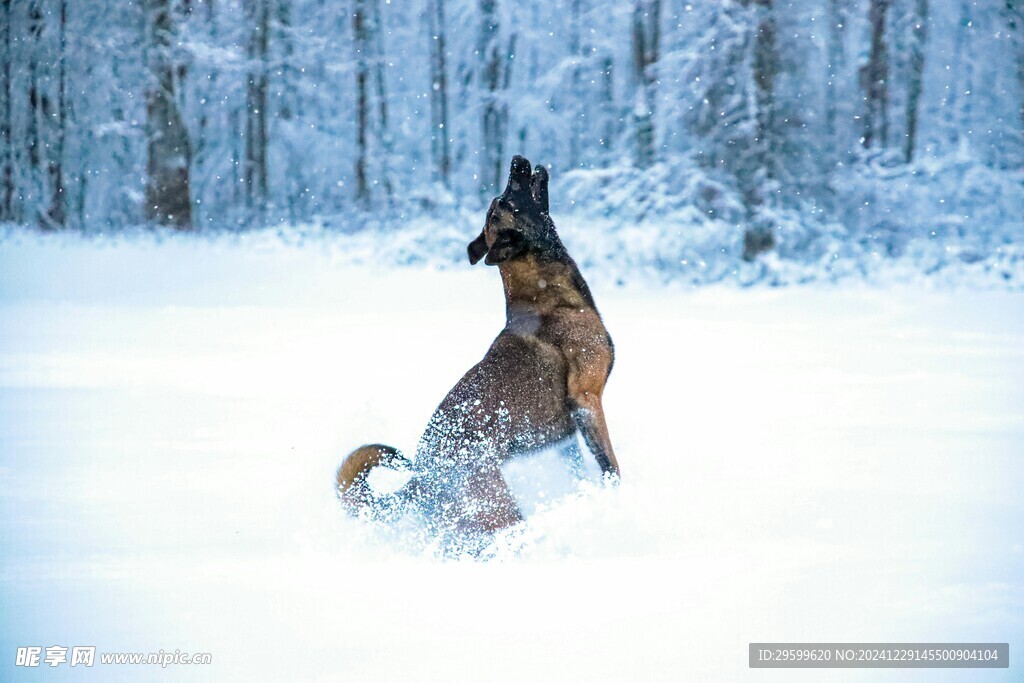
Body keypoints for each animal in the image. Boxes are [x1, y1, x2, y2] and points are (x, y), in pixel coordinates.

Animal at [339, 154, 618, 544]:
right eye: (508, 197)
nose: (517, 160)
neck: (547, 296)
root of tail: (420, 479)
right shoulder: (587, 400)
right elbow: (611, 466)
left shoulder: (567, 439)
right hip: (499, 511)